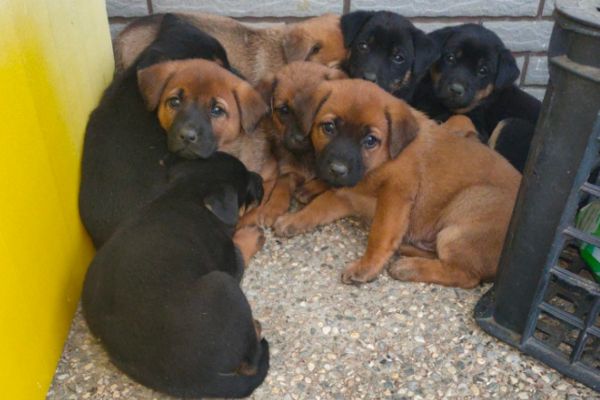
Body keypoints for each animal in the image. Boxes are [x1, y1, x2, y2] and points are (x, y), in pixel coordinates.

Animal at [81, 152, 268, 398]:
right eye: (247, 184)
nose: (262, 179)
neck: (185, 193)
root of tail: (196, 379)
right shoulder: (231, 261)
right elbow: (239, 247)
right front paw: (250, 234)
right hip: (224, 285)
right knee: (251, 363)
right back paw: (256, 329)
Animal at [274, 79, 520, 290]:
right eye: (329, 127)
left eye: (370, 141)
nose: (337, 170)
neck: (377, 166)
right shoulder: (347, 196)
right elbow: (317, 208)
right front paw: (294, 220)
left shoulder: (395, 196)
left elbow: (380, 234)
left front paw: (366, 267)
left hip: (470, 205)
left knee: (466, 276)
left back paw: (409, 267)